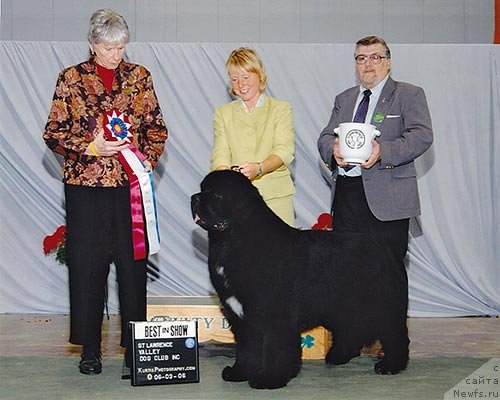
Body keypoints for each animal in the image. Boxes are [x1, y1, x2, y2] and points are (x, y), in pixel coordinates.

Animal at [189, 170, 408, 390]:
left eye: (217, 194)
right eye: (202, 188)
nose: (194, 198)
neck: (232, 240)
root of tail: (382, 246)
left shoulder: (275, 315)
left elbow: (275, 349)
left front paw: (270, 378)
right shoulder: (241, 317)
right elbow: (247, 348)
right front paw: (240, 372)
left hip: (379, 304)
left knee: (394, 333)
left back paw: (390, 365)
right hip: (343, 305)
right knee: (349, 330)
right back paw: (337, 357)